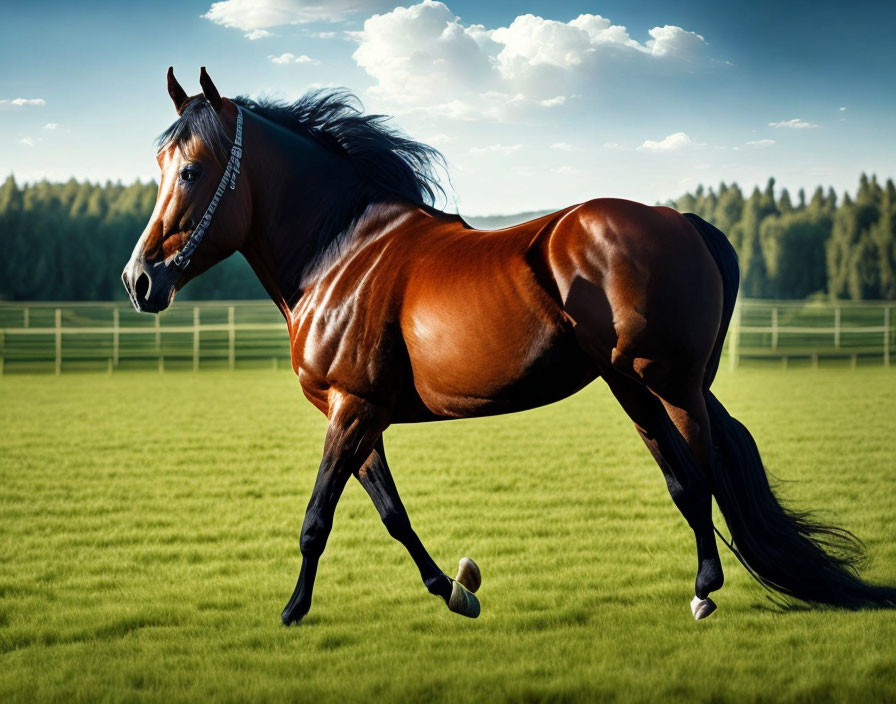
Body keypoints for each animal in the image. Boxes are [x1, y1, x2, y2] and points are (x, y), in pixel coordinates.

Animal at [121, 69, 896, 624]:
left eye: (190, 170)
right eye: (159, 164)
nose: (140, 280)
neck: (342, 254)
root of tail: (680, 219)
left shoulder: (353, 407)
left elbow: (317, 519)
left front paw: (292, 612)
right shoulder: (361, 416)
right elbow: (392, 514)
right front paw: (455, 590)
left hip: (668, 381)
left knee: (704, 472)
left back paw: (707, 590)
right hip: (631, 385)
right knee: (683, 479)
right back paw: (705, 584)